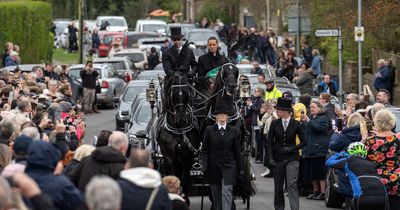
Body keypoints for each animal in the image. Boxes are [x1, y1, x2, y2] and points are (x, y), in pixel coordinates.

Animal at [156, 71, 200, 199]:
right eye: (173, 93)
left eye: (186, 92)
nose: (181, 117)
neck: (178, 130)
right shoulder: (168, 157)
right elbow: (173, 176)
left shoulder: (188, 157)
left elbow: (183, 178)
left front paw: (183, 197)